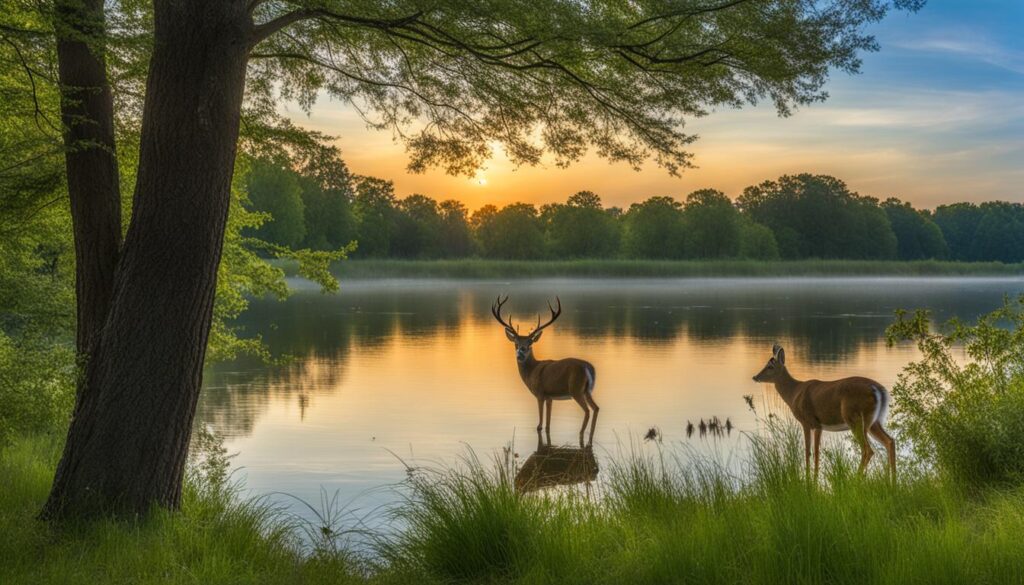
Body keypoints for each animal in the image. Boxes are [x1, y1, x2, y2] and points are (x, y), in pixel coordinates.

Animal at [489, 297, 598, 444]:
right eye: (516, 343)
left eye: (529, 343)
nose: (520, 354)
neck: (532, 371)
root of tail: (588, 367)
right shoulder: (550, 397)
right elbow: (548, 425)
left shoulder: (540, 393)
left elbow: (540, 426)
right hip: (587, 390)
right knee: (596, 408)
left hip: (576, 389)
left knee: (587, 411)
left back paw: (580, 433)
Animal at [753, 344, 897, 481]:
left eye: (770, 366)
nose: (755, 377)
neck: (794, 393)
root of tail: (878, 390)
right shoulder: (818, 425)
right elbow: (815, 452)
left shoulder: (809, 422)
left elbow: (810, 451)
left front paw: (810, 481)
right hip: (875, 421)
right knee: (889, 441)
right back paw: (892, 482)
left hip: (854, 418)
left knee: (868, 450)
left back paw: (856, 480)